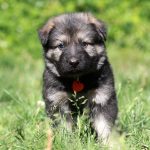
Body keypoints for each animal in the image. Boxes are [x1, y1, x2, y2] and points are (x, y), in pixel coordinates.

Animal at [38, 12, 118, 142]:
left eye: (85, 43)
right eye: (61, 45)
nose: (73, 62)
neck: (77, 78)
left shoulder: (102, 99)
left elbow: (105, 126)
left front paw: (110, 143)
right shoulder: (58, 102)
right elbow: (64, 126)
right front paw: (65, 142)